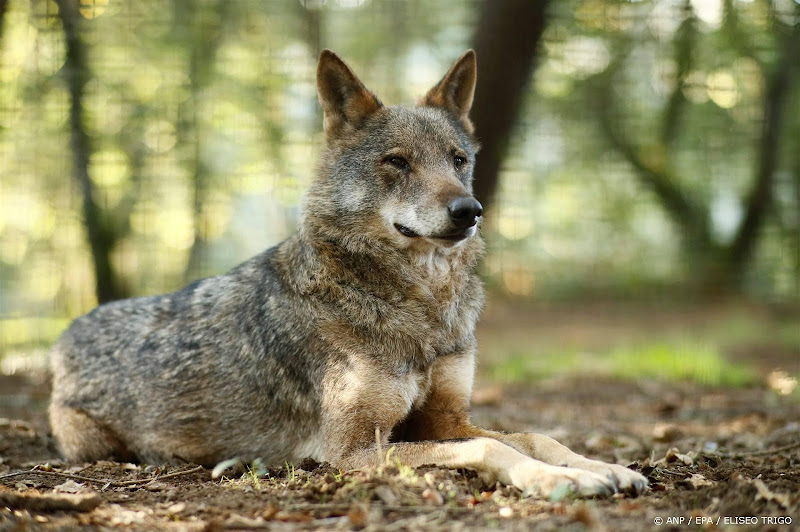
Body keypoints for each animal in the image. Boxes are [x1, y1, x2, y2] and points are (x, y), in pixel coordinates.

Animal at [49, 50, 647, 498]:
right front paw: (558, 482)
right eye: (397, 162)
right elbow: (493, 445)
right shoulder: (352, 449)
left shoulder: (445, 419)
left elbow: (534, 435)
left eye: (457, 160)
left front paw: (603, 467)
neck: (420, 304)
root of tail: (65, 336)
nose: (470, 210)